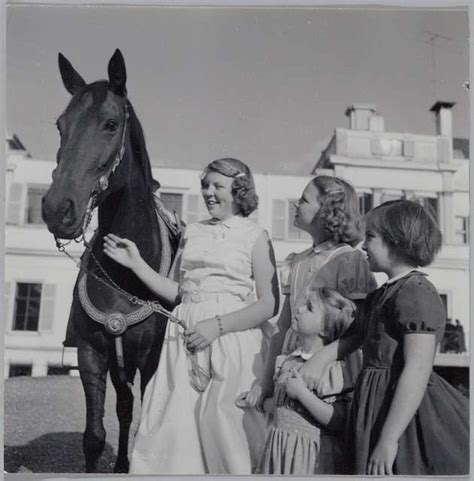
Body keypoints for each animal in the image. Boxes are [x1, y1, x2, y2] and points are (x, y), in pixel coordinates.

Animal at [39, 49, 178, 472]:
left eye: (111, 123)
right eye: (60, 125)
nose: (57, 209)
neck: (125, 273)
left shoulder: (150, 360)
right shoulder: (91, 354)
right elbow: (94, 436)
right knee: (124, 407)